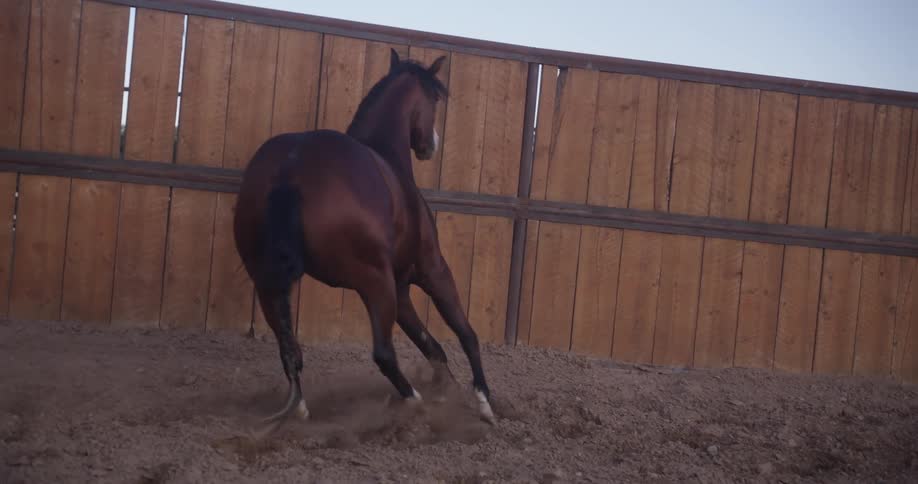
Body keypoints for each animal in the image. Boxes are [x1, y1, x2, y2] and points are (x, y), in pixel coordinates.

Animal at [233, 49, 496, 431]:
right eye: (434, 99)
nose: (430, 144)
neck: (386, 157)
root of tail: (291, 168)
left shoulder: (400, 287)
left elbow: (431, 345)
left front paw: (448, 391)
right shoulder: (431, 270)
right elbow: (465, 333)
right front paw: (483, 402)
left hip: (267, 283)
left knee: (289, 350)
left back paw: (302, 409)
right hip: (374, 282)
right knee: (383, 353)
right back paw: (413, 402)